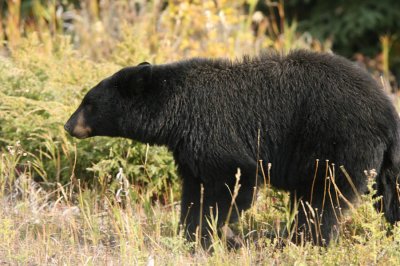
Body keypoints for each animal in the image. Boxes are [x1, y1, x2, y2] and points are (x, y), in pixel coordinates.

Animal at [64, 50, 400, 245]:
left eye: (88, 103)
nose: (68, 126)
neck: (175, 112)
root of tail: (387, 112)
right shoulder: (189, 147)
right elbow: (195, 188)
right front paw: (190, 232)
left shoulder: (211, 129)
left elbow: (234, 178)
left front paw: (209, 235)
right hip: (381, 160)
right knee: (389, 195)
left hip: (337, 143)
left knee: (322, 199)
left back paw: (302, 240)